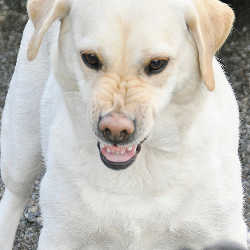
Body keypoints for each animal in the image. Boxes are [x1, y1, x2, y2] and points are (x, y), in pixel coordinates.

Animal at [0, 0, 247, 249]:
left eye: (157, 64)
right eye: (90, 58)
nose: (115, 130)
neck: (141, 171)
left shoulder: (223, 230)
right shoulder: (61, 236)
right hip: (22, 149)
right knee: (13, 197)